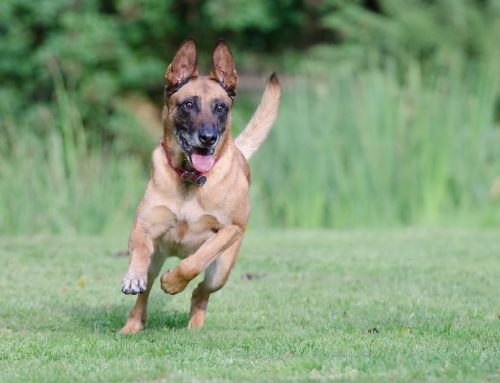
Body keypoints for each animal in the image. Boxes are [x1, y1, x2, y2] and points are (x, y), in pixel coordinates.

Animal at [118, 37, 280, 334]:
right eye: (188, 104)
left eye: (220, 107)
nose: (208, 137)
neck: (190, 180)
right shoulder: (145, 224)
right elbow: (139, 250)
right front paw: (133, 277)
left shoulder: (230, 230)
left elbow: (197, 259)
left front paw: (173, 282)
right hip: (157, 259)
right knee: (146, 292)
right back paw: (132, 325)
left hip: (222, 271)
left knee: (200, 291)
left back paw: (194, 324)